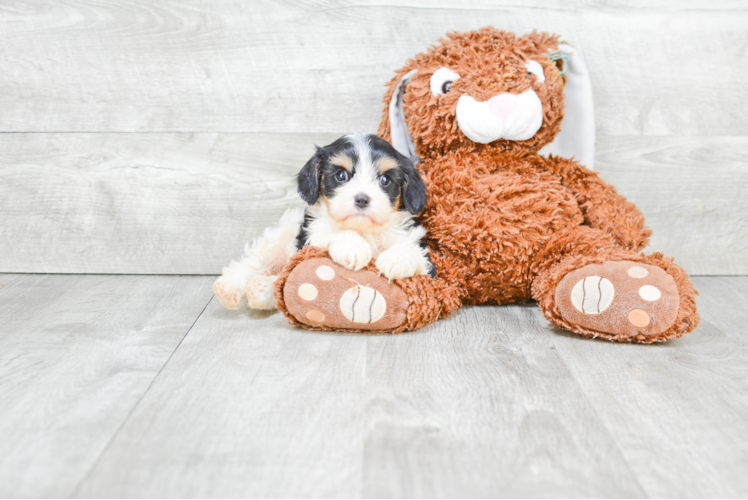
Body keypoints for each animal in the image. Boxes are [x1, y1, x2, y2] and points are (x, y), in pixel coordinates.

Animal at [212, 135, 432, 310]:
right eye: (341, 175)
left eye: (385, 180)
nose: (362, 199)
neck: (364, 229)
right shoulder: (310, 236)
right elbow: (331, 232)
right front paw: (353, 247)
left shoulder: (428, 264)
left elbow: (414, 252)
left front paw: (396, 259)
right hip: (278, 239)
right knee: (253, 263)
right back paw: (229, 288)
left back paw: (260, 289)